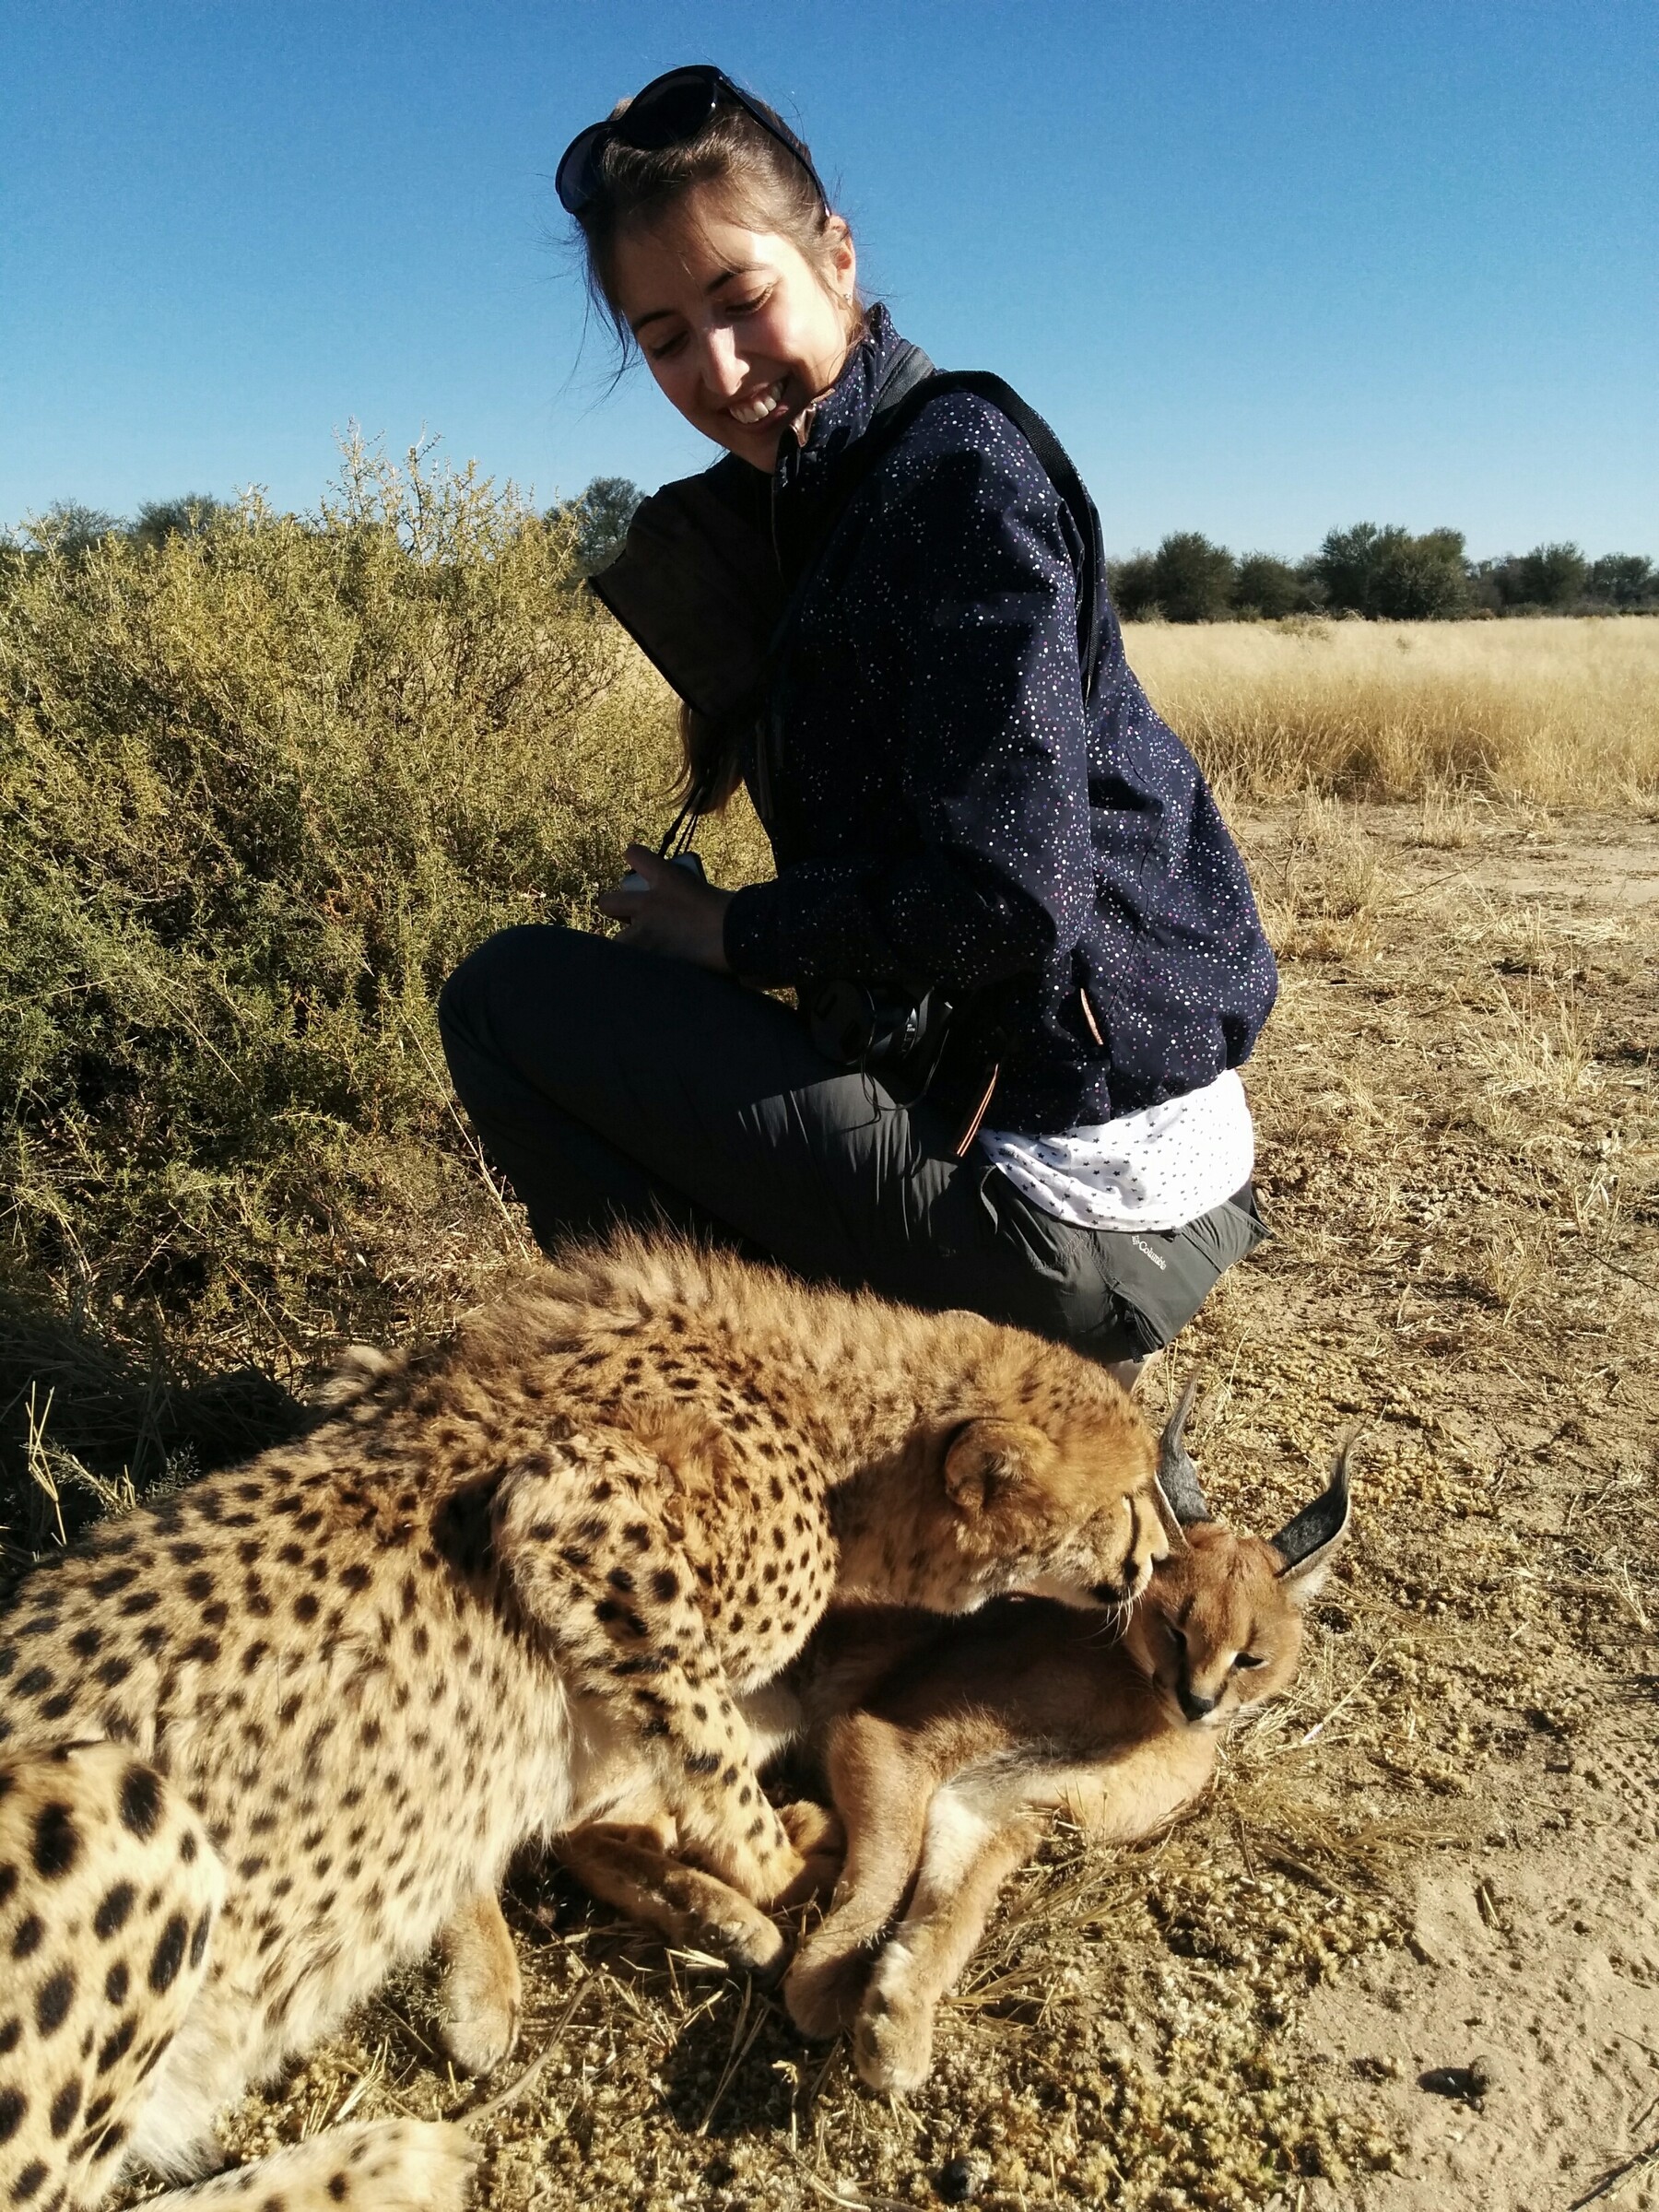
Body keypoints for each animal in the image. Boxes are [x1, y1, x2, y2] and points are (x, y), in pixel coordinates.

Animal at [0, 1233, 1171, 2210]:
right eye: (1124, 1503)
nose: (1158, 1561)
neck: (838, 1432)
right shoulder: (568, 1504)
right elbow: (707, 1739)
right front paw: (779, 1864)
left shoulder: (369, 1380)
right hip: (111, 1800)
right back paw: (393, 2154)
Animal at [558, 1379, 1354, 2095]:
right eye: (1175, 1627)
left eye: (1252, 1657)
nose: (1198, 1699)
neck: (1139, 1709)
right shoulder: (890, 1740)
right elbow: (885, 1873)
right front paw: (826, 1983)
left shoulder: (1001, 1806)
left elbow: (957, 1912)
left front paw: (898, 2014)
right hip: (758, 1704)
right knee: (583, 1829)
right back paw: (741, 1920)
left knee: (606, 1827)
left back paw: (740, 1900)